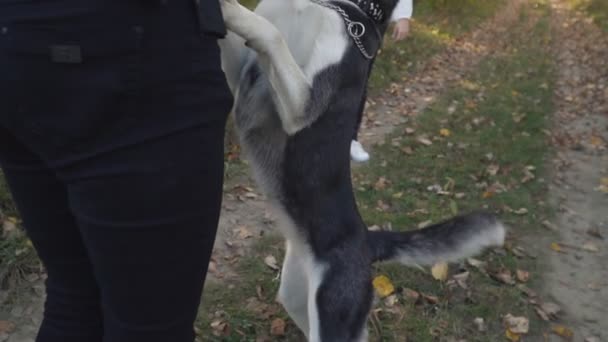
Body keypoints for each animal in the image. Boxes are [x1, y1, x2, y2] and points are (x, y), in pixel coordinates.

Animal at [220, 1, 508, 340]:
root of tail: (368, 241)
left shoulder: (303, 107)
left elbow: (272, 34)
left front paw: (230, 9)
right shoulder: (241, 71)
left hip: (333, 312)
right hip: (298, 299)